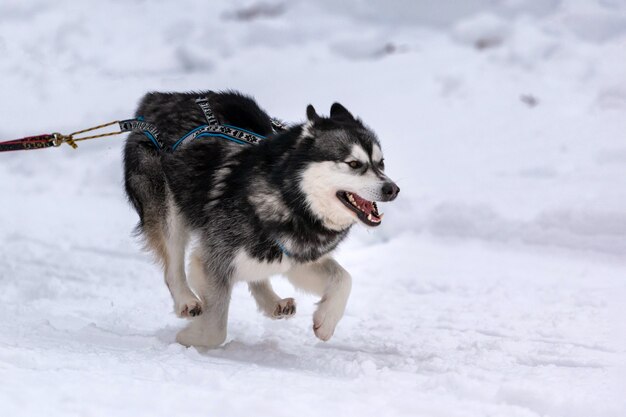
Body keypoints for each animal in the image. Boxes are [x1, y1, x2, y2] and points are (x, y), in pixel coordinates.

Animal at [122, 91, 400, 348]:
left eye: (381, 163)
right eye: (353, 164)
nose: (392, 189)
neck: (291, 200)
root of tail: (161, 97)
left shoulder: (298, 258)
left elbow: (344, 279)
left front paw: (326, 321)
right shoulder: (214, 257)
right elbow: (215, 330)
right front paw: (188, 338)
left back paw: (272, 301)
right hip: (169, 214)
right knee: (173, 267)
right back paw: (186, 300)